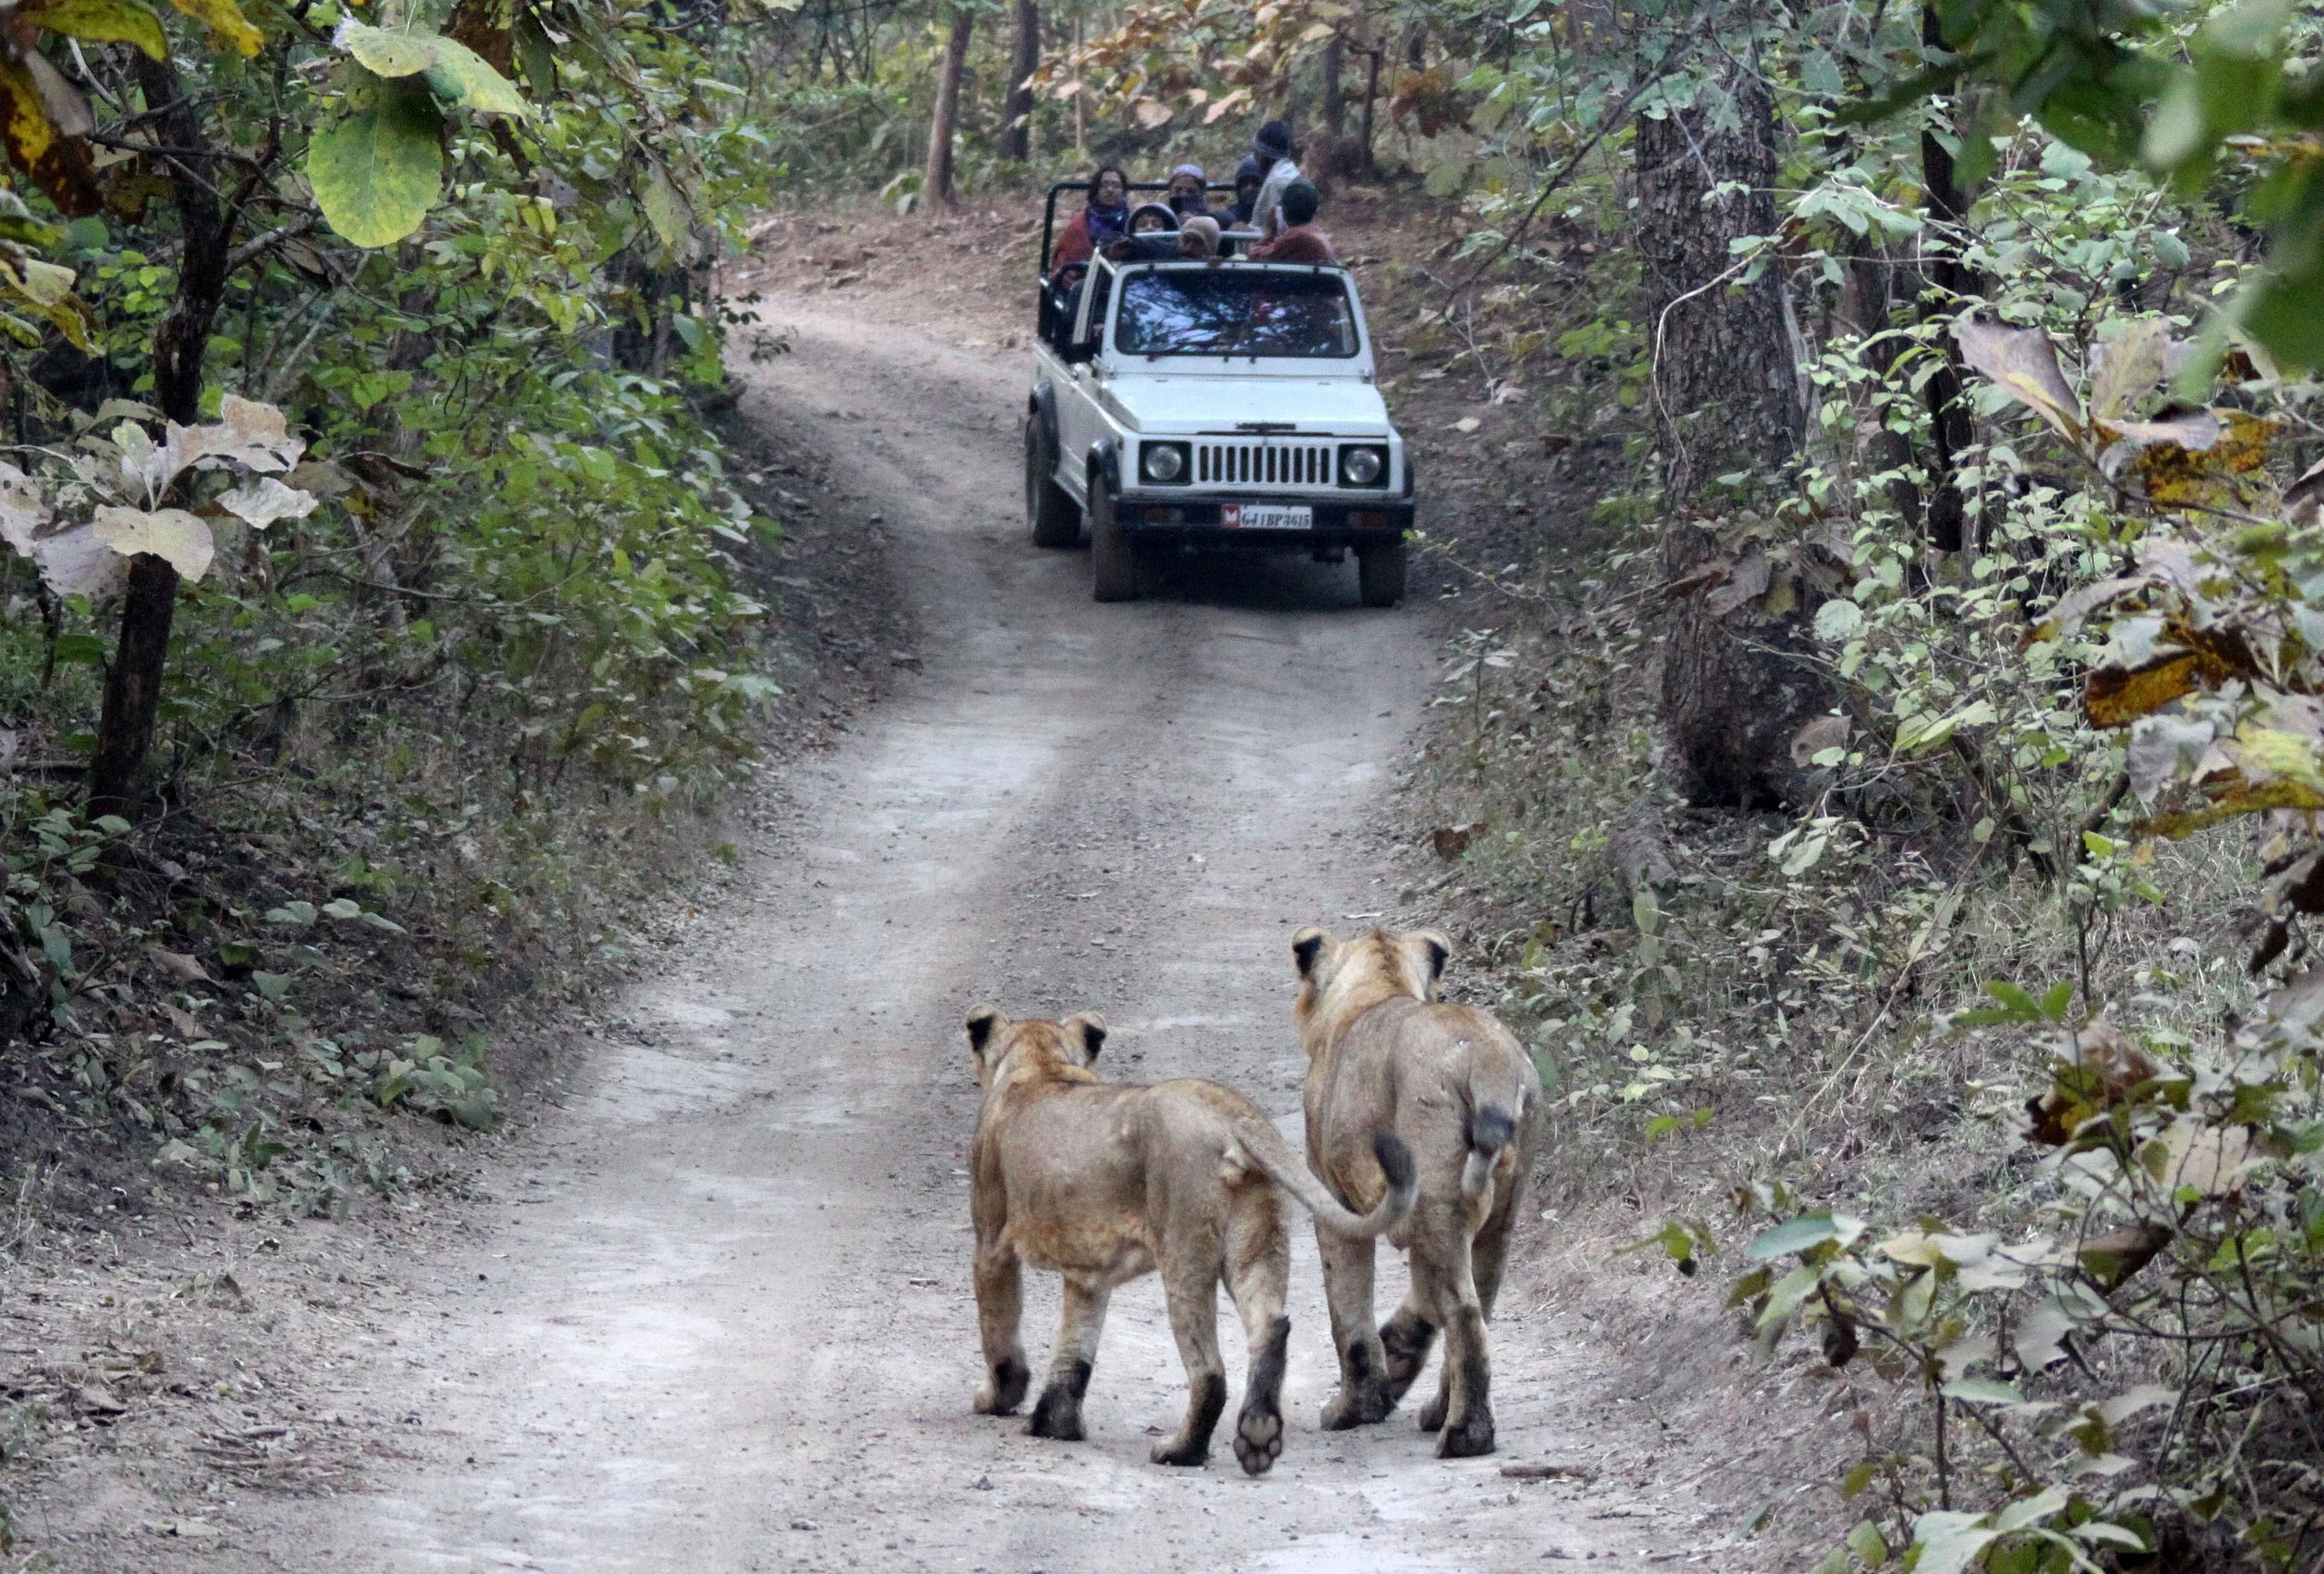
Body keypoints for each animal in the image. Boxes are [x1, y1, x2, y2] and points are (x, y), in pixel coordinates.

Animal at [964, 1004, 1416, 1475]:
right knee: (1270, 1327)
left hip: (1184, 1247)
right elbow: (1076, 1341)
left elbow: (999, 1327)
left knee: (1210, 1371)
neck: (1040, 1062)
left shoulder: (992, 1243)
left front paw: (998, 1399)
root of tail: (1233, 1114)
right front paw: (1055, 1424)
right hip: (1258, 1238)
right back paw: (1258, 1435)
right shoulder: (1089, 1272)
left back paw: (1181, 1450)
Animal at [1289, 926, 1541, 1458]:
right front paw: (1396, 1361)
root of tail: (1487, 1057)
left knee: (1465, 1313)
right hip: (1497, 1210)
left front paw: (1355, 1409)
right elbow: (1422, 1301)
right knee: (1481, 1303)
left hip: (1437, 1194)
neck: (1376, 991)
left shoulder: (1334, 1200)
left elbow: (1348, 1311)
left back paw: (1465, 1433)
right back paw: (1439, 1412)